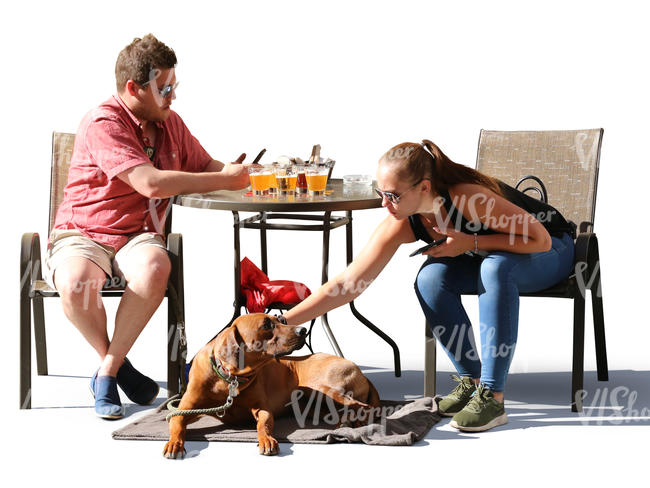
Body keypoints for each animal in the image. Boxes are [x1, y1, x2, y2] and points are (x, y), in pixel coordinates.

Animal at [162, 312, 382, 458]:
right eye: (267, 325)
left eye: (282, 320)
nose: (303, 330)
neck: (229, 378)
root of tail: (360, 370)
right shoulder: (185, 408)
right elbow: (177, 421)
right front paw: (174, 443)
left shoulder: (263, 408)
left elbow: (264, 424)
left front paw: (267, 439)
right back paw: (346, 422)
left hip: (324, 388)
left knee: (365, 407)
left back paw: (356, 423)